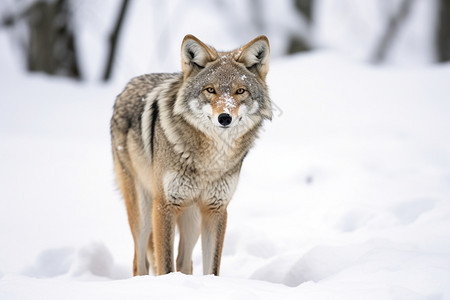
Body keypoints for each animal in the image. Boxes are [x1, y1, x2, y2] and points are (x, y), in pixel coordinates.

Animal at [110, 34, 270, 276]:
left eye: (240, 91)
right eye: (210, 90)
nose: (225, 118)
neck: (210, 161)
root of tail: (126, 87)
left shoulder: (216, 209)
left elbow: (211, 268)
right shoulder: (164, 205)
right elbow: (166, 266)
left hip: (192, 219)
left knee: (184, 262)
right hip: (144, 213)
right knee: (140, 262)